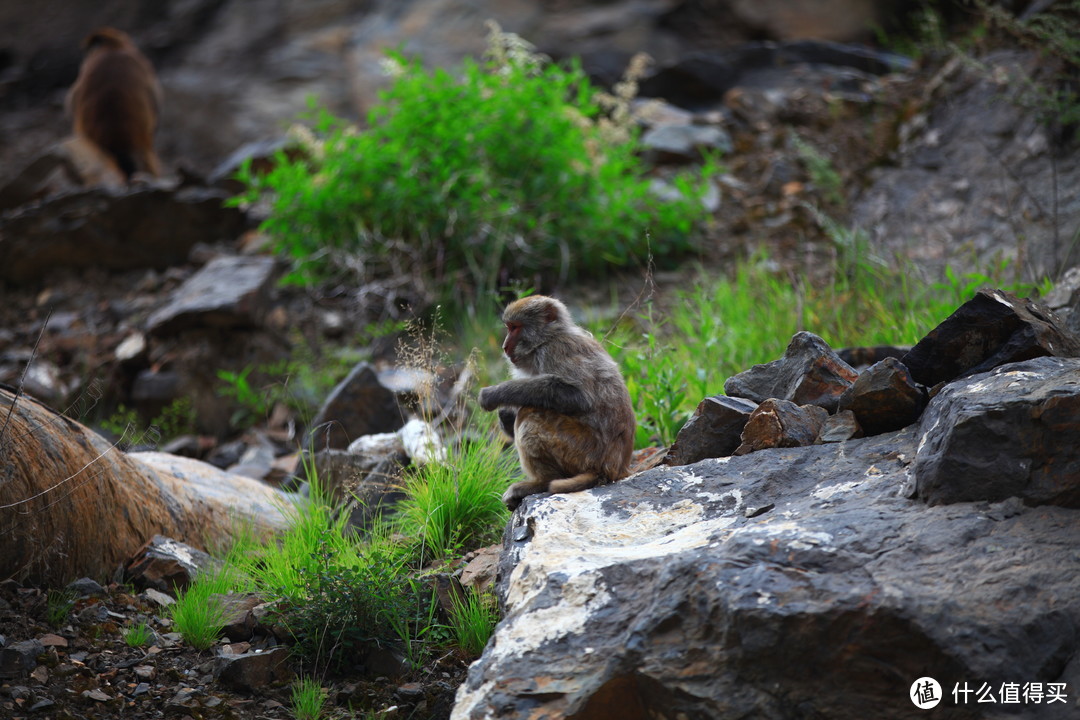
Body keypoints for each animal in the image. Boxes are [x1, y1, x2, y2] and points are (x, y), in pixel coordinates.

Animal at [477, 295, 635, 509]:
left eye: (515, 327)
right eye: (509, 327)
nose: (505, 346)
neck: (548, 338)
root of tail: (614, 469)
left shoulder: (554, 351)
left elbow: (577, 396)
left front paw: (497, 393)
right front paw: (506, 415)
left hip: (583, 451)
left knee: (531, 415)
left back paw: (540, 483)